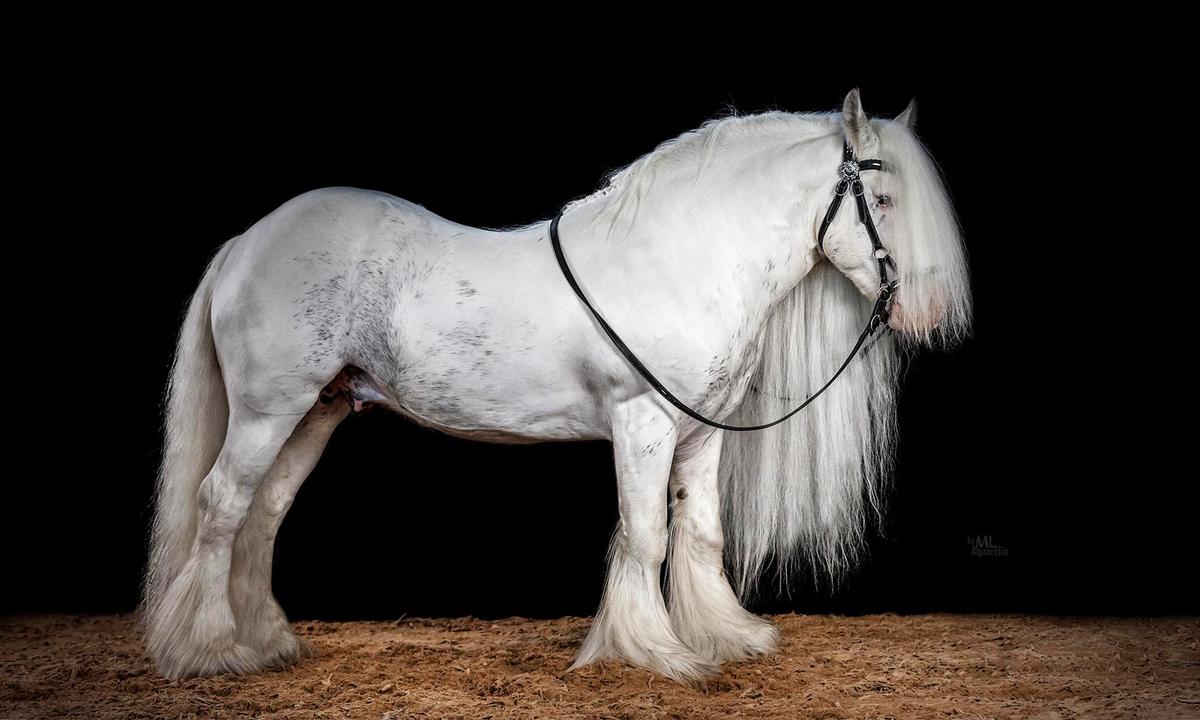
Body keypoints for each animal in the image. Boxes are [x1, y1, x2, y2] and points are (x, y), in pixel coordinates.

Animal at [141, 89, 972, 684]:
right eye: (885, 202)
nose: (929, 314)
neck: (681, 257)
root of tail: (249, 240)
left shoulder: (701, 432)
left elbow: (701, 532)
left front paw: (724, 637)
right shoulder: (643, 424)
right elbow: (646, 533)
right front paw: (652, 653)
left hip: (318, 410)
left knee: (264, 512)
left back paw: (267, 644)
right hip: (266, 410)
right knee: (222, 505)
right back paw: (213, 650)